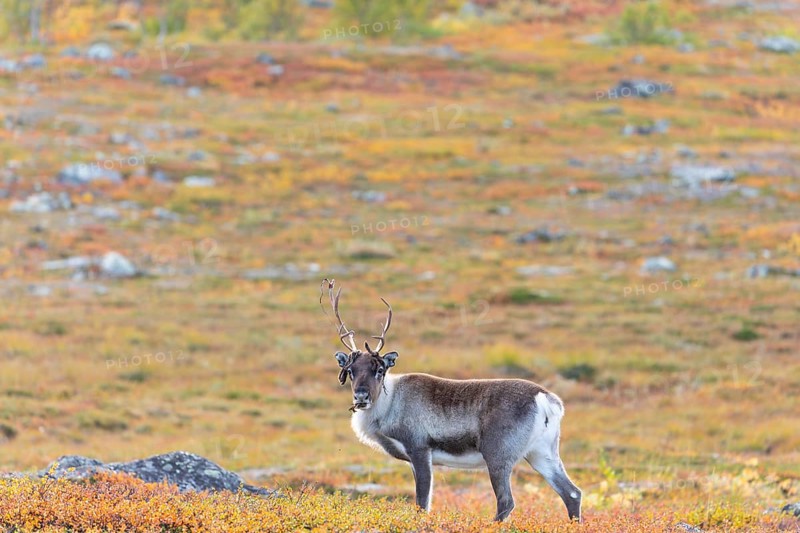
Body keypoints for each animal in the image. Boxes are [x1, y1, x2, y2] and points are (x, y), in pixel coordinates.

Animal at [320, 279, 582, 523]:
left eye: (380, 370)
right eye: (350, 370)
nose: (361, 396)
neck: (390, 403)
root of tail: (546, 398)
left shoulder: (419, 450)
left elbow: (422, 503)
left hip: (498, 456)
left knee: (506, 501)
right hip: (542, 452)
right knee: (572, 493)